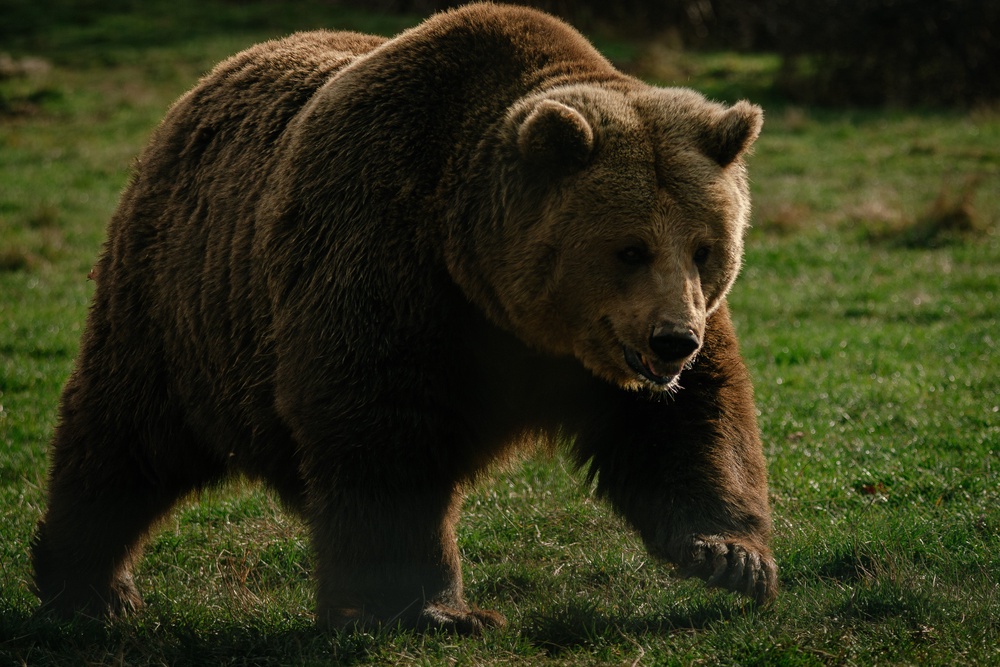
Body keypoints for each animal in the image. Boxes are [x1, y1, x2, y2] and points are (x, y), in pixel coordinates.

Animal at [31, 2, 775, 633]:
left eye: (706, 248)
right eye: (629, 249)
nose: (672, 340)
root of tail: (201, 88)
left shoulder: (617, 348)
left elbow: (688, 421)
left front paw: (730, 555)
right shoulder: (387, 259)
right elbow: (381, 430)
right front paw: (433, 607)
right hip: (181, 307)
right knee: (123, 436)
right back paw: (90, 587)